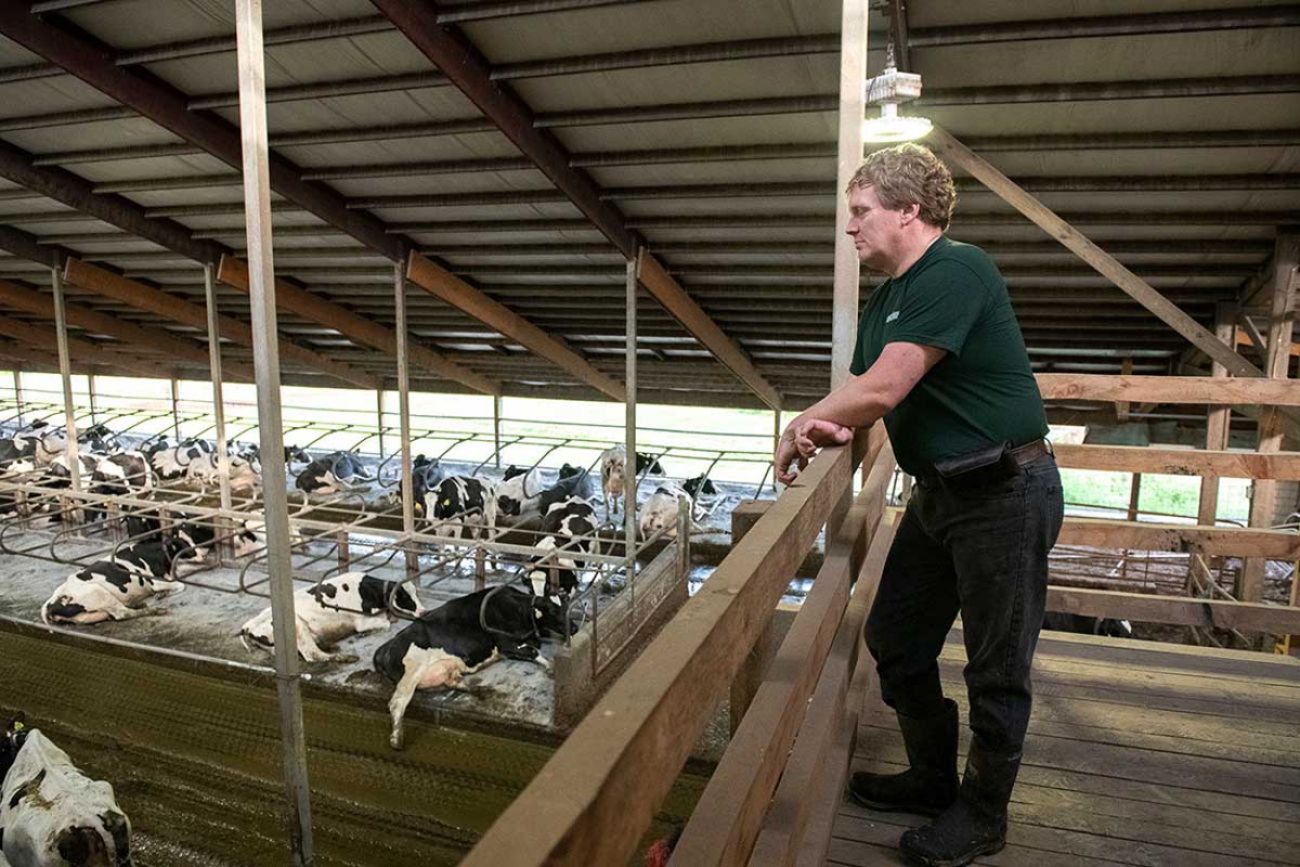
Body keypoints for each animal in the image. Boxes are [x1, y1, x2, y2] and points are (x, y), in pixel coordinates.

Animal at [369, 587, 566, 748]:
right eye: (553, 610)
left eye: (566, 606)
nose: (572, 626)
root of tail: (384, 648)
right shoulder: (506, 643)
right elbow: (533, 651)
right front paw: (551, 666)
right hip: (412, 672)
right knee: (397, 702)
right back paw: (396, 739)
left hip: (443, 669)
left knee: (454, 681)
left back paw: (480, 690)